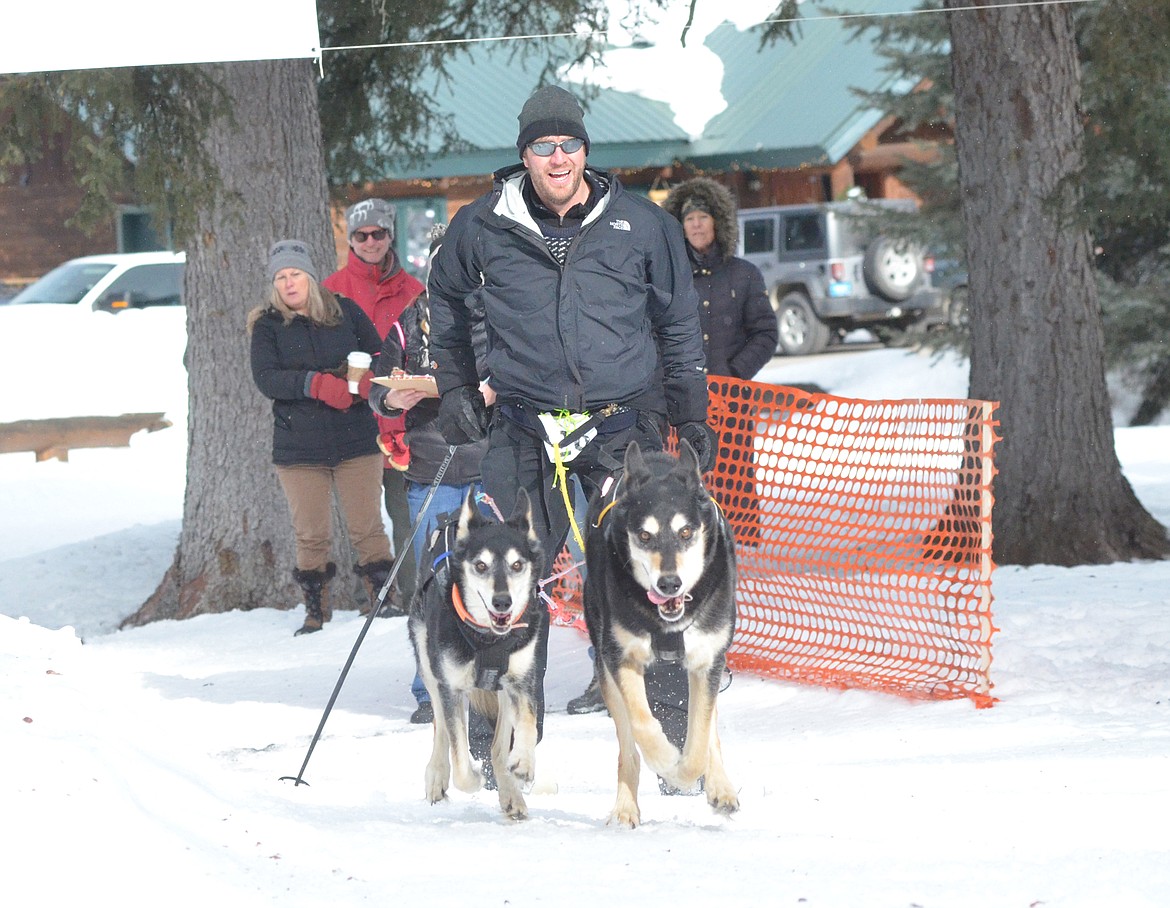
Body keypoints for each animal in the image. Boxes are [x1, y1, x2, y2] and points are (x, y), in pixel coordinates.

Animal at [585, 439, 739, 828]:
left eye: (685, 533)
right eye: (644, 535)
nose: (670, 584)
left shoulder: (707, 661)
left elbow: (699, 738)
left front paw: (687, 774)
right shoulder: (621, 658)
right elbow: (643, 726)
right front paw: (668, 761)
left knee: (709, 730)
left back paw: (721, 788)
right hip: (605, 667)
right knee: (628, 747)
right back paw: (625, 807)